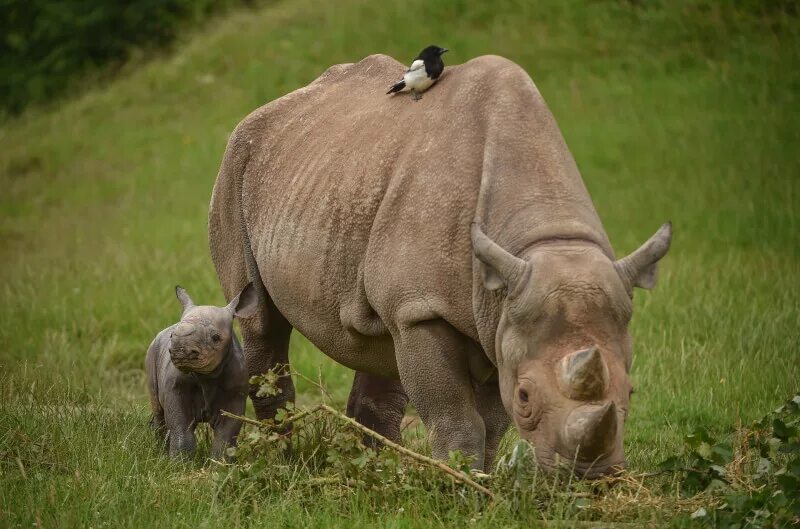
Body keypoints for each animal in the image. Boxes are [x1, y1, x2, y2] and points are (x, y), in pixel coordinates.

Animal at [145, 282, 255, 456]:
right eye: (172, 336)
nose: (180, 351)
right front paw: (180, 461)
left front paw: (220, 462)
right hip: (152, 352)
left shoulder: (236, 392)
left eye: (216, 338)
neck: (207, 376)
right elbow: (181, 429)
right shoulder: (176, 388)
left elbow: (226, 435)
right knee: (158, 412)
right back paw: (160, 452)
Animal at [208, 55, 668, 476]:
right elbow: (457, 418)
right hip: (236, 164)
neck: (545, 239)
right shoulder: (425, 309)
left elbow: (492, 424)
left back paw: (375, 475)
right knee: (262, 321)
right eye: (525, 396)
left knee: (379, 340)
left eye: (631, 392)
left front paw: (482, 482)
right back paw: (283, 462)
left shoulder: (499, 311)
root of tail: (275, 106)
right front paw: (459, 482)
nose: (591, 477)